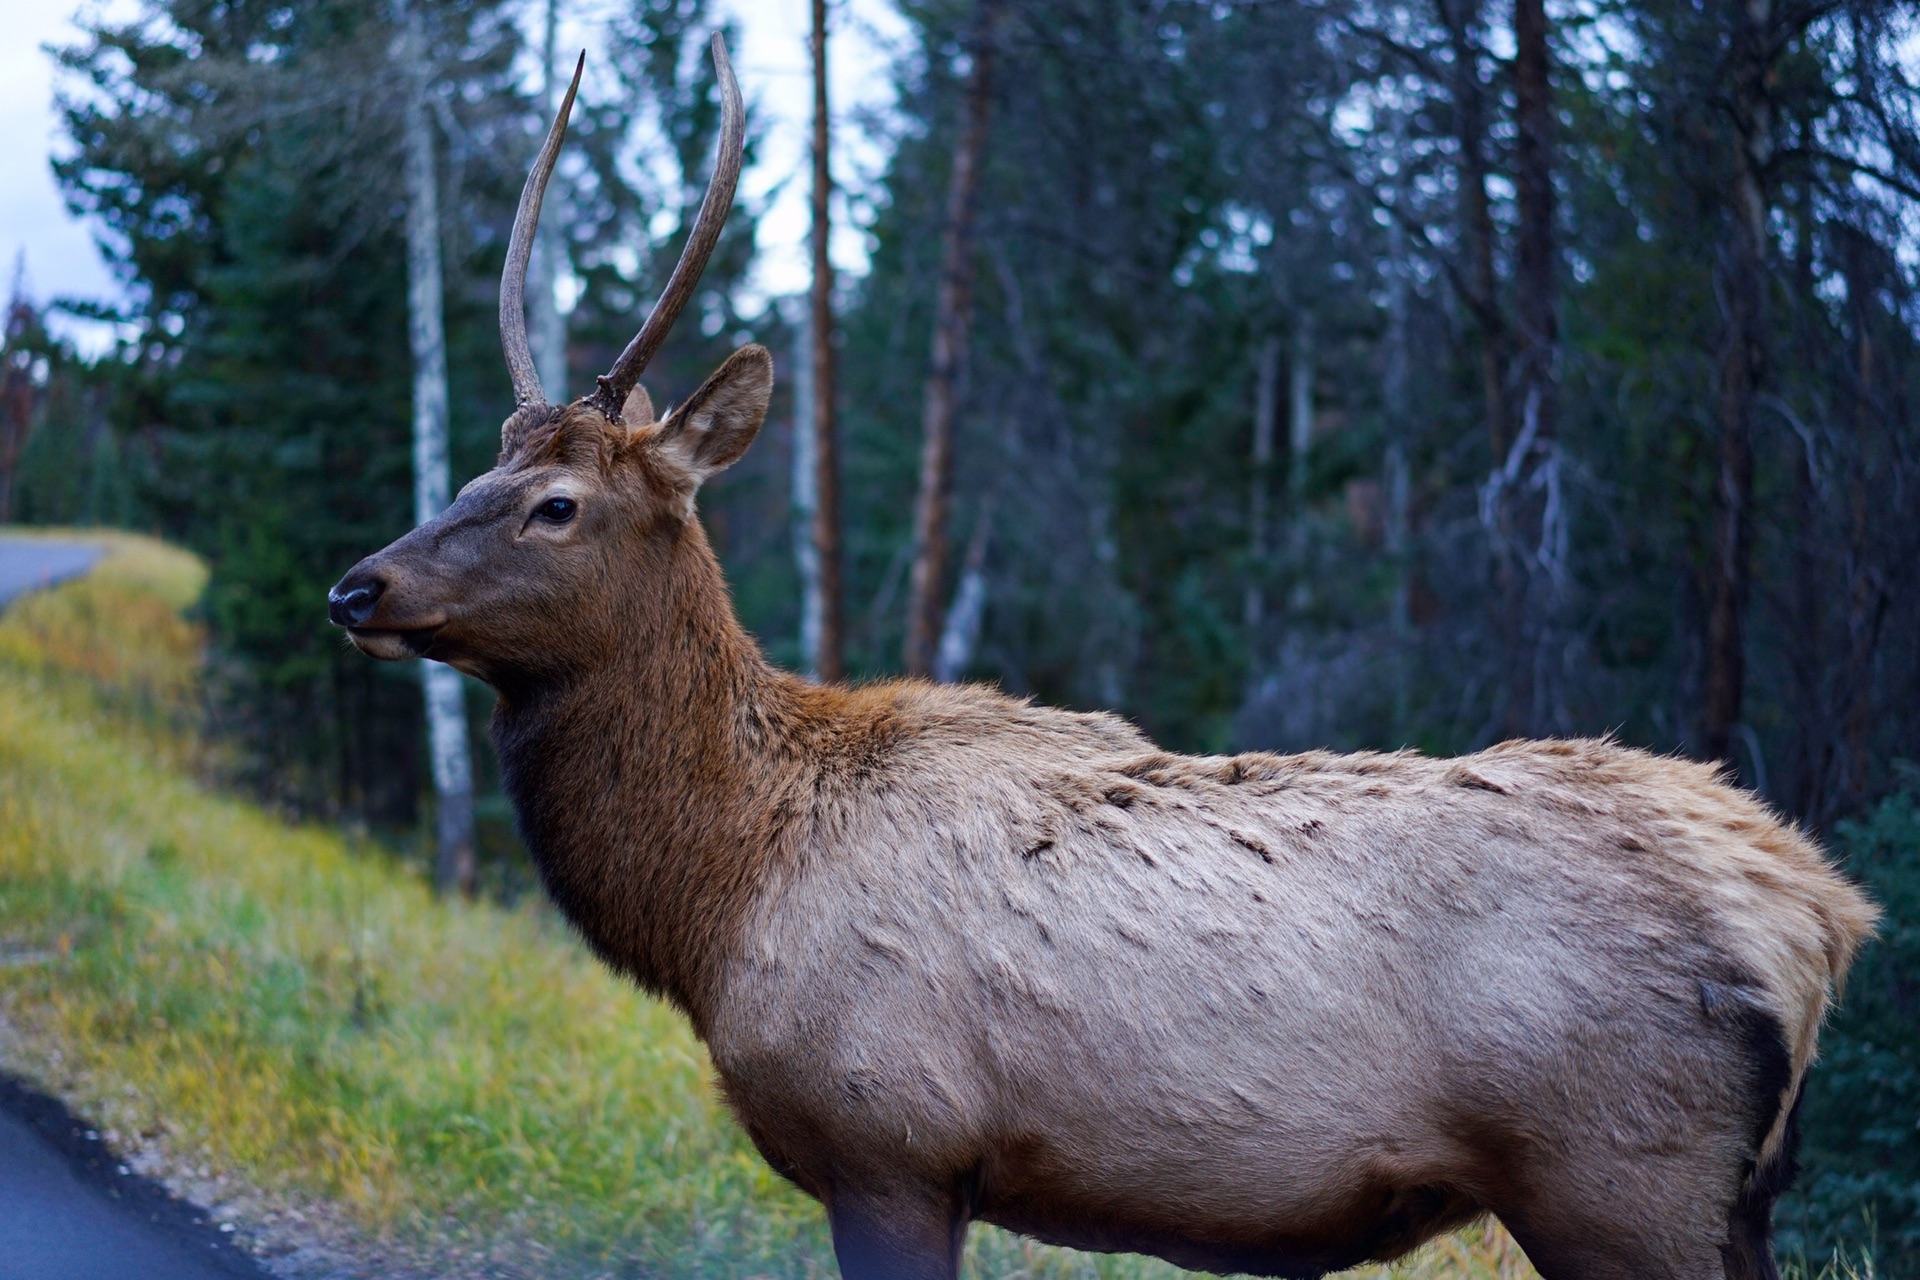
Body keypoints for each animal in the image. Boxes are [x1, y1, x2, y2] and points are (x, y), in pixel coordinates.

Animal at [330, 37, 1873, 1280]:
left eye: (555, 504)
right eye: (472, 468)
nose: (358, 584)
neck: (721, 893)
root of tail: (1818, 916)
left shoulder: (890, 1138)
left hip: (1618, 1176)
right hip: (1718, 1197)